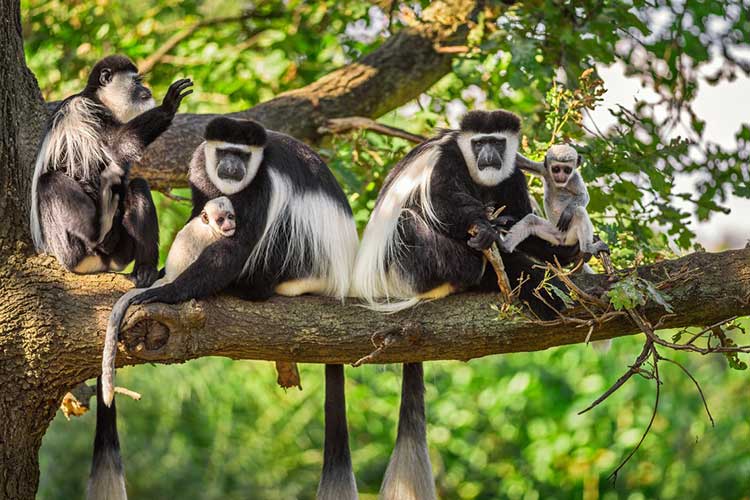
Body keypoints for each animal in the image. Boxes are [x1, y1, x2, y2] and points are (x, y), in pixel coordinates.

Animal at [30, 55, 193, 287]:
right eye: (137, 81)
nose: (147, 89)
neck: (100, 100)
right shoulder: (85, 110)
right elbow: (116, 145)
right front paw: (168, 105)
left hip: (121, 252)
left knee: (137, 186)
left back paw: (144, 270)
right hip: (64, 244)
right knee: (51, 181)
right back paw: (96, 241)